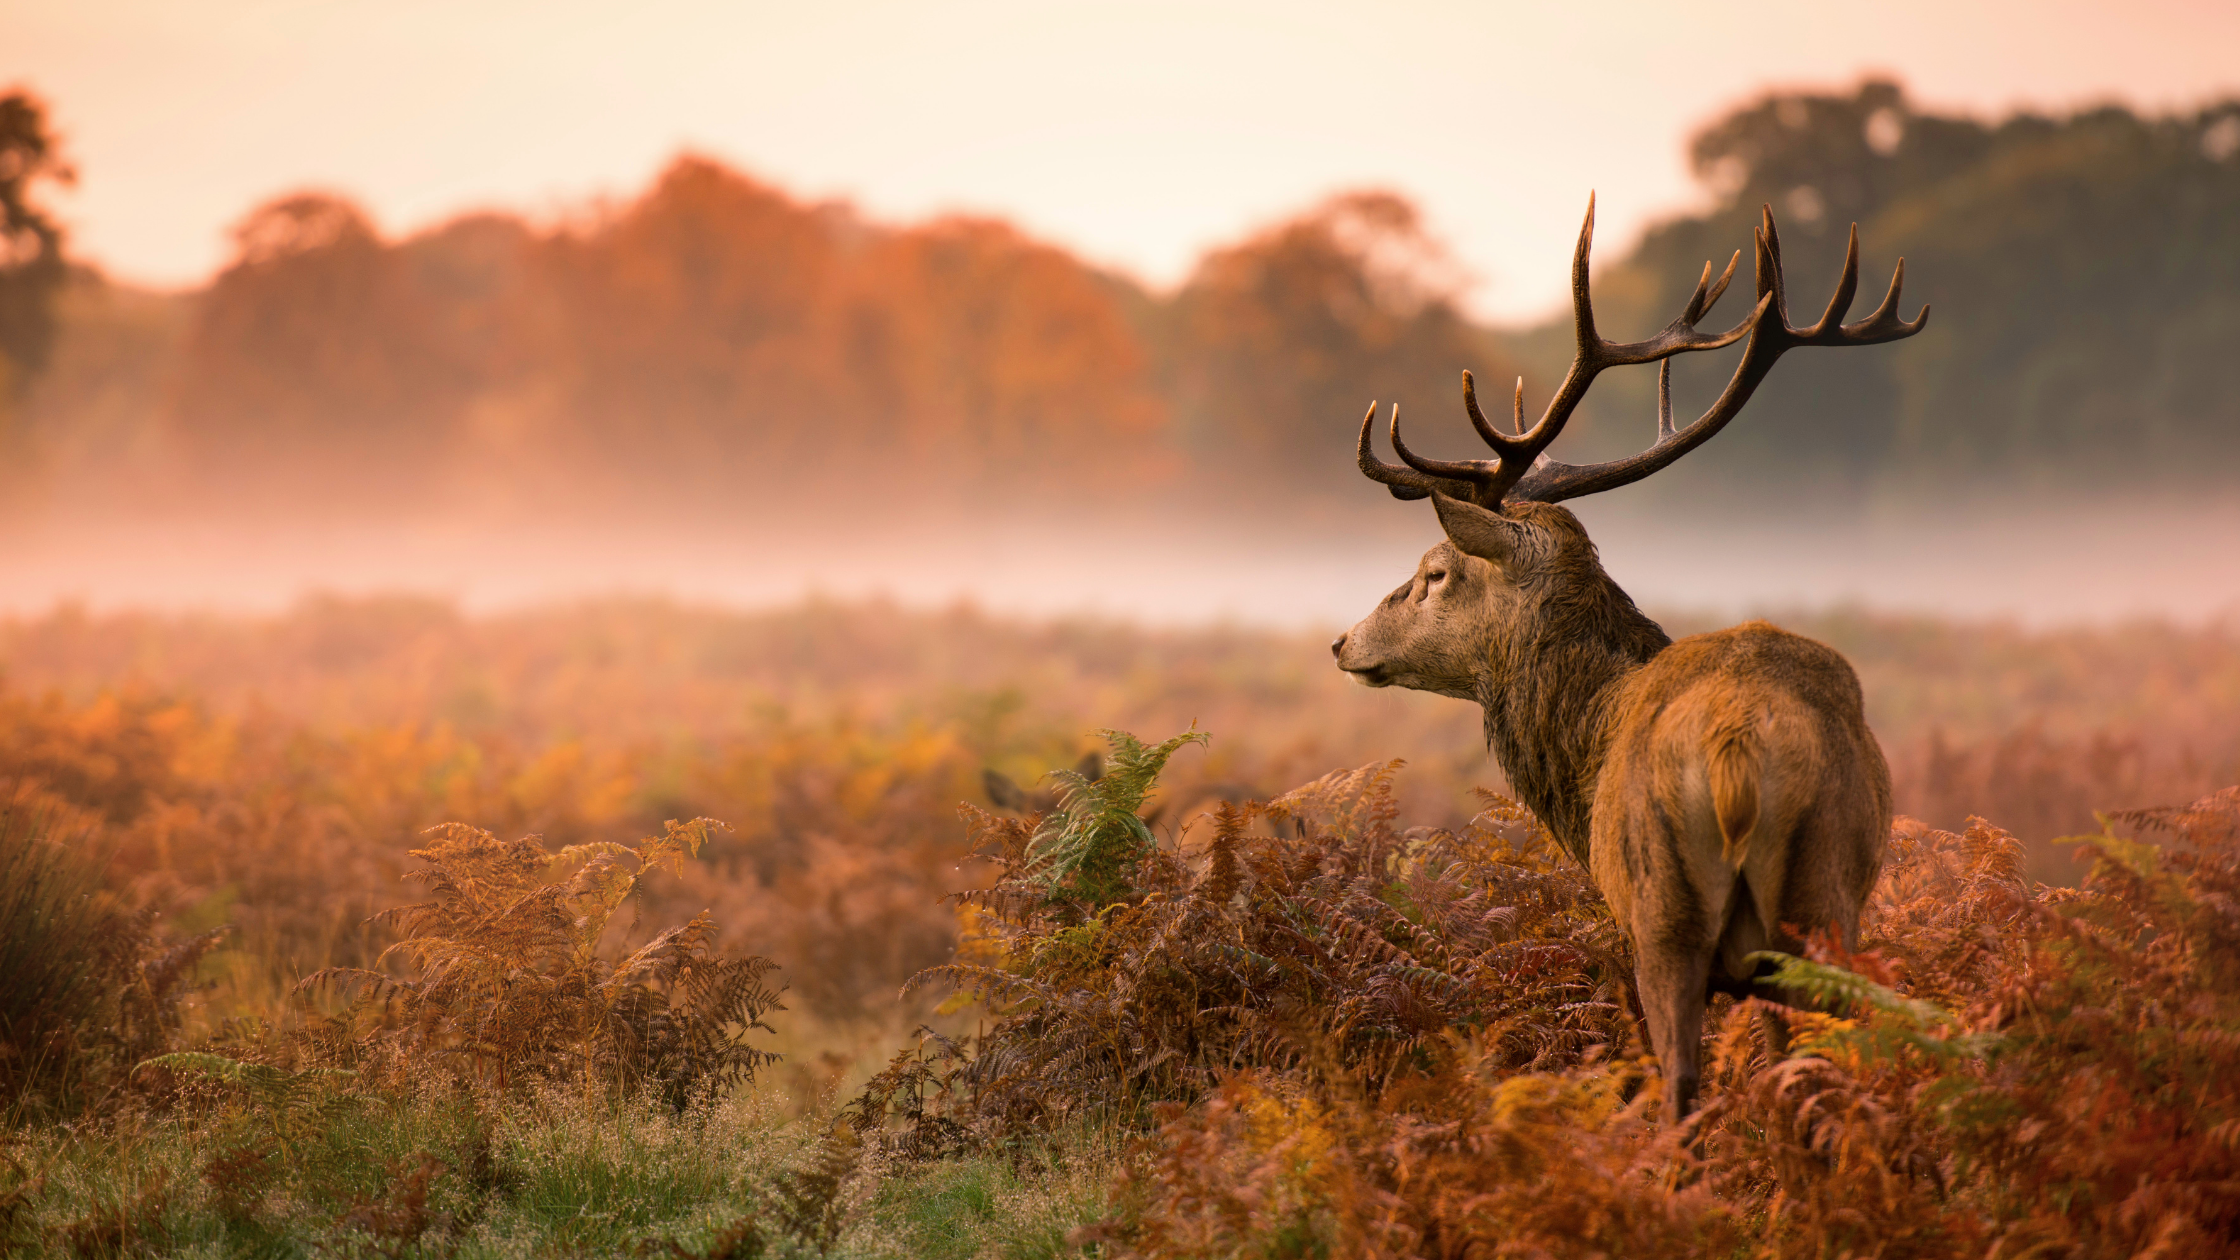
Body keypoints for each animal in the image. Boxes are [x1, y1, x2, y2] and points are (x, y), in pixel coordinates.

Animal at [1331, 196, 1926, 1119]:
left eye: (1434, 572)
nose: (1344, 641)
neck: (1589, 739)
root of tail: (1736, 754)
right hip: (1825, 905)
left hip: (1665, 916)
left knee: (1679, 1088)